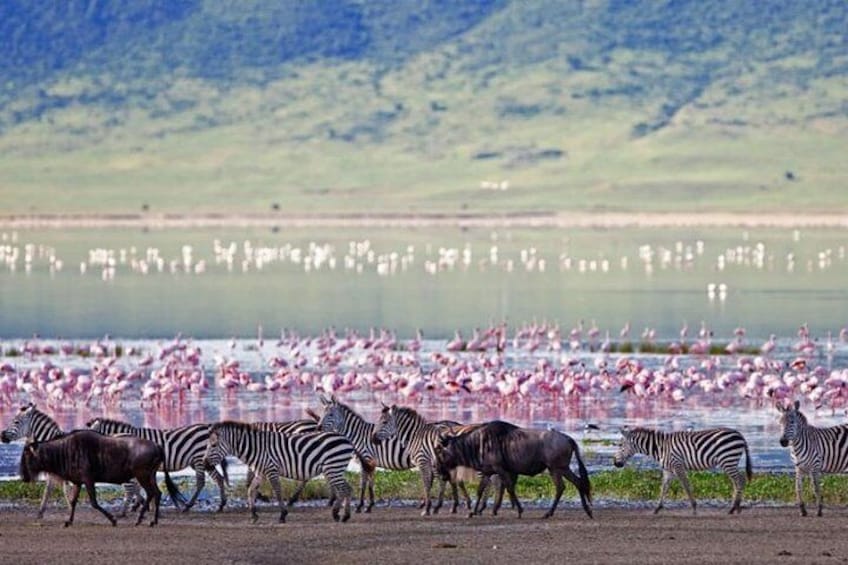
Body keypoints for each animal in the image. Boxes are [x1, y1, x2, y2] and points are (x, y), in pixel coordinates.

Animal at [85, 414, 229, 512]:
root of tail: (208, 427)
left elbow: (136, 486)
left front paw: (141, 504)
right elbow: (138, 487)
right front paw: (142, 504)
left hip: (199, 458)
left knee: (201, 482)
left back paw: (188, 506)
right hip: (204, 461)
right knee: (219, 478)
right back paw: (221, 504)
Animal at [202, 420, 354, 524]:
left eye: (213, 445)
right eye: (208, 445)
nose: (204, 464)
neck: (256, 448)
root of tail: (346, 440)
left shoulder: (271, 470)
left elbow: (277, 491)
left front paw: (282, 515)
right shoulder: (260, 473)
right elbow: (250, 491)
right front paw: (254, 515)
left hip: (333, 468)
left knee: (344, 489)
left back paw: (340, 515)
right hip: (333, 469)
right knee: (346, 489)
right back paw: (341, 515)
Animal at [612, 426, 752, 512]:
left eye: (620, 446)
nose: (615, 463)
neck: (660, 448)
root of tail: (739, 434)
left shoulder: (677, 466)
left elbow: (686, 486)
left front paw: (694, 508)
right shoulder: (668, 470)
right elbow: (664, 488)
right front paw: (657, 508)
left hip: (728, 460)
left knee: (740, 480)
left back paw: (734, 508)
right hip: (729, 461)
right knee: (737, 482)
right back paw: (735, 507)